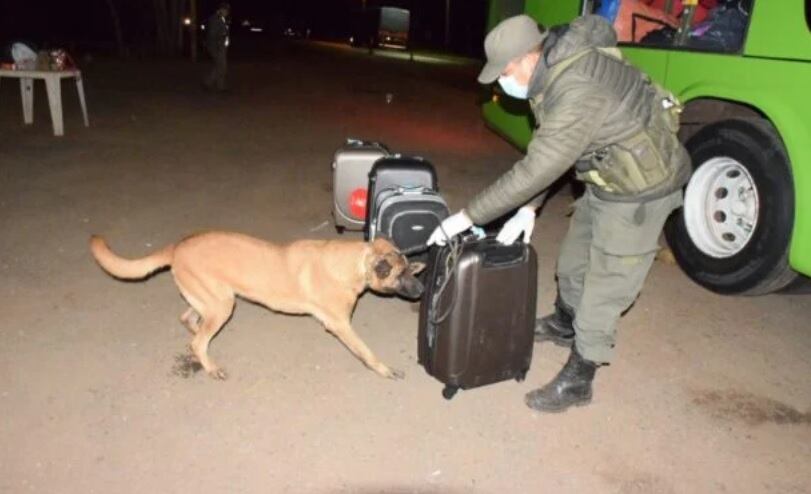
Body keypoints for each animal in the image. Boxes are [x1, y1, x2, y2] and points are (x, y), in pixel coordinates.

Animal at [89, 233, 426, 380]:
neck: (352, 264)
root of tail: (177, 246)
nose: (423, 290)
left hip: (212, 301)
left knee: (188, 320)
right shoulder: (341, 325)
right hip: (222, 305)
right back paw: (209, 365)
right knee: (198, 340)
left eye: (410, 270)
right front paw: (384, 369)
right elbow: (367, 352)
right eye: (400, 274)